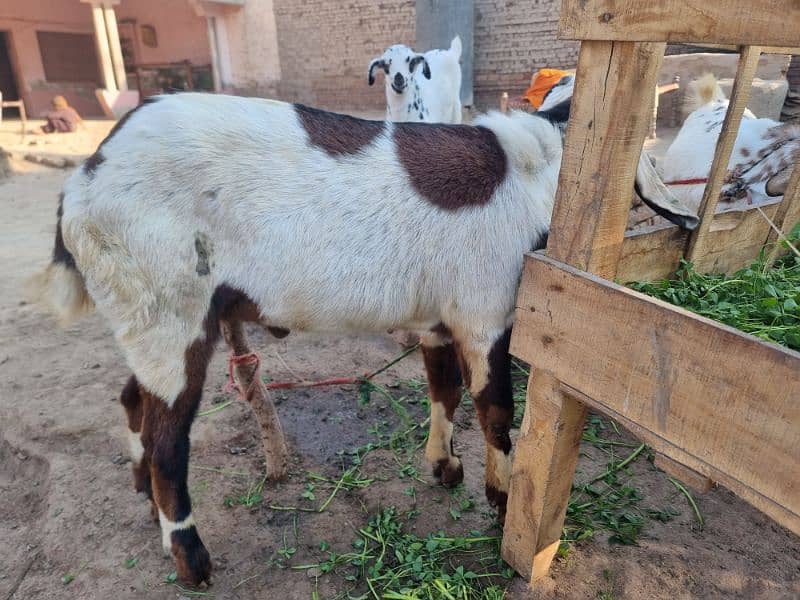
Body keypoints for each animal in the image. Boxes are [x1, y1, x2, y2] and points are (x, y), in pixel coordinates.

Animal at [32, 95, 692, 584]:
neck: (535, 171)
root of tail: (84, 179)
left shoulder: (436, 319)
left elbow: (444, 391)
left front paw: (444, 468)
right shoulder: (485, 311)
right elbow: (496, 409)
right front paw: (501, 502)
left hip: (146, 316)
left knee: (133, 401)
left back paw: (145, 499)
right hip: (171, 306)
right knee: (170, 439)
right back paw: (193, 562)